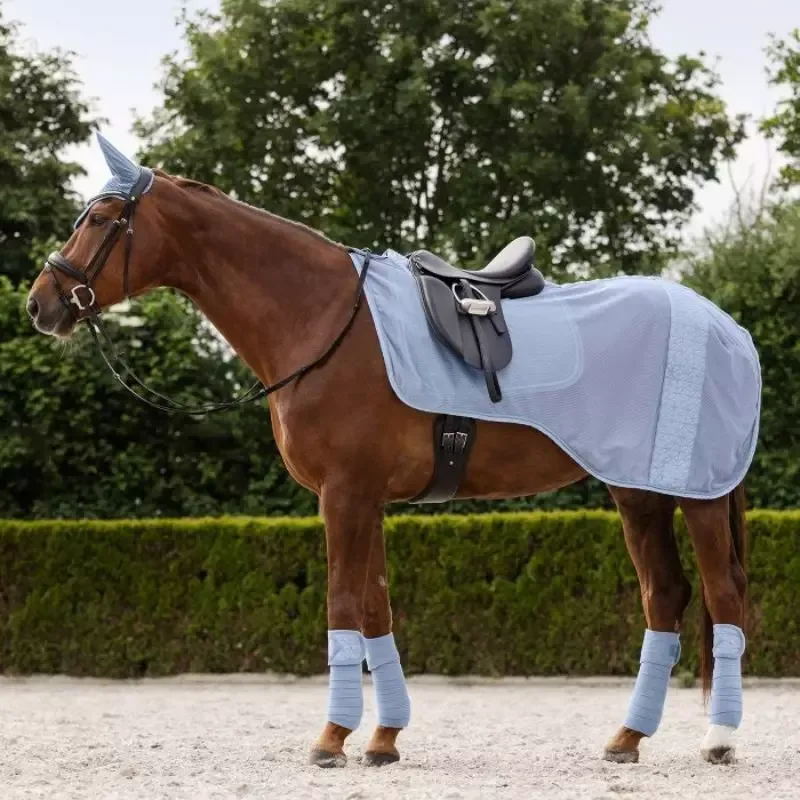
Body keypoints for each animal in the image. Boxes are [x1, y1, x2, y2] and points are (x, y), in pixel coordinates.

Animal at [26, 136, 755, 768]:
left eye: (101, 219)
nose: (41, 304)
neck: (322, 318)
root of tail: (724, 326)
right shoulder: (363, 498)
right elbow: (376, 608)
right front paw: (383, 739)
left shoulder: (345, 495)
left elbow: (344, 605)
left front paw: (330, 738)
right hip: (638, 492)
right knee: (665, 596)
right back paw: (628, 737)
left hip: (699, 495)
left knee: (723, 595)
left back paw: (718, 740)